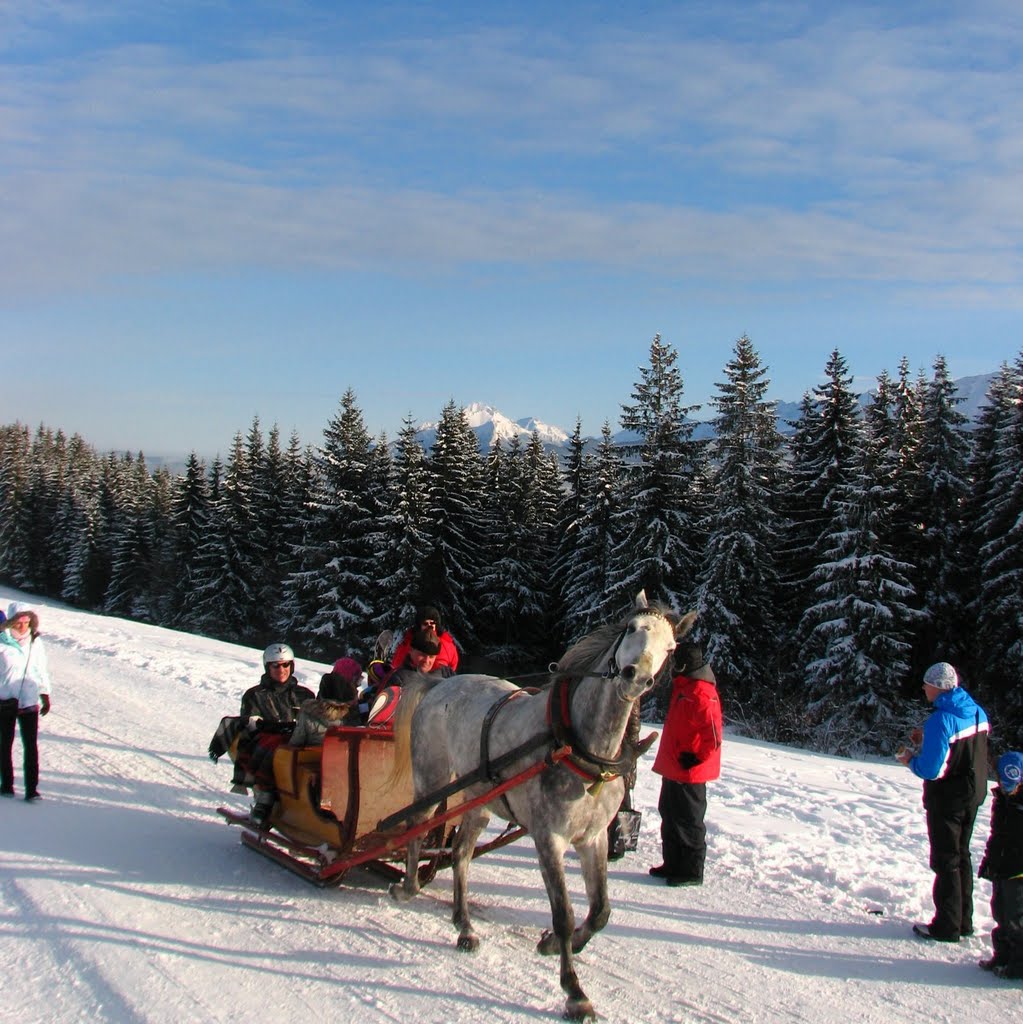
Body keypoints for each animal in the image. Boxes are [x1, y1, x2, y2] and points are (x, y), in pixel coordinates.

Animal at [391, 598, 696, 1019]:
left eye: (670, 649)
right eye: (632, 628)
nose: (635, 677)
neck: (581, 748)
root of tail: (440, 683)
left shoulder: (594, 838)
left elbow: (600, 911)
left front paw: (554, 944)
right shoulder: (549, 838)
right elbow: (565, 914)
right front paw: (574, 991)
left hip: (479, 801)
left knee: (461, 854)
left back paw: (464, 924)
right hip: (433, 780)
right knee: (415, 828)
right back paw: (407, 887)